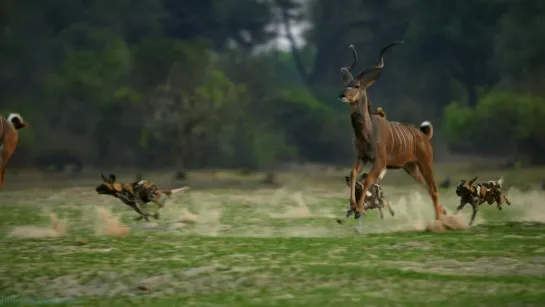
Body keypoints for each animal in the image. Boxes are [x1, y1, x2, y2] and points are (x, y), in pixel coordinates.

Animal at [340, 42, 446, 223]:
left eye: (356, 86)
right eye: (345, 84)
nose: (342, 95)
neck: (367, 131)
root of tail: (424, 135)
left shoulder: (380, 162)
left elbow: (367, 180)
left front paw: (359, 209)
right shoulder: (361, 157)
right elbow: (353, 174)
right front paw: (353, 206)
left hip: (425, 163)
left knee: (433, 189)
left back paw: (439, 221)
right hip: (411, 168)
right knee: (427, 187)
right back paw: (444, 214)